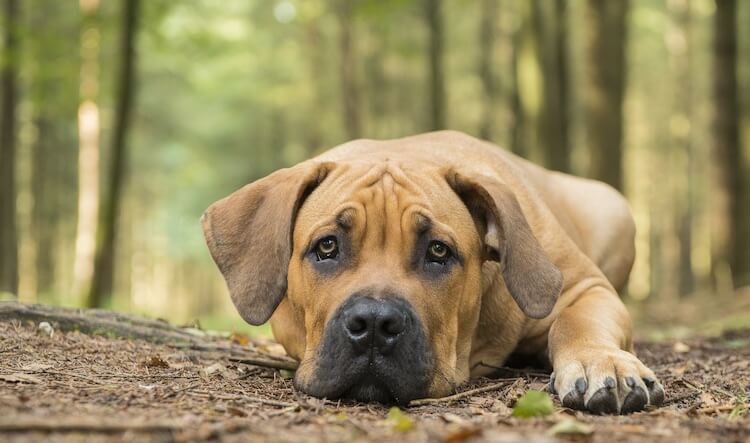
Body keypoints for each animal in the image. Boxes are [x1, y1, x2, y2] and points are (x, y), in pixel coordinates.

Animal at [203, 130, 668, 414]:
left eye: (438, 251)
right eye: (327, 246)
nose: (374, 324)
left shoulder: (584, 287)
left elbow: (576, 322)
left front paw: (600, 362)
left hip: (612, 207)